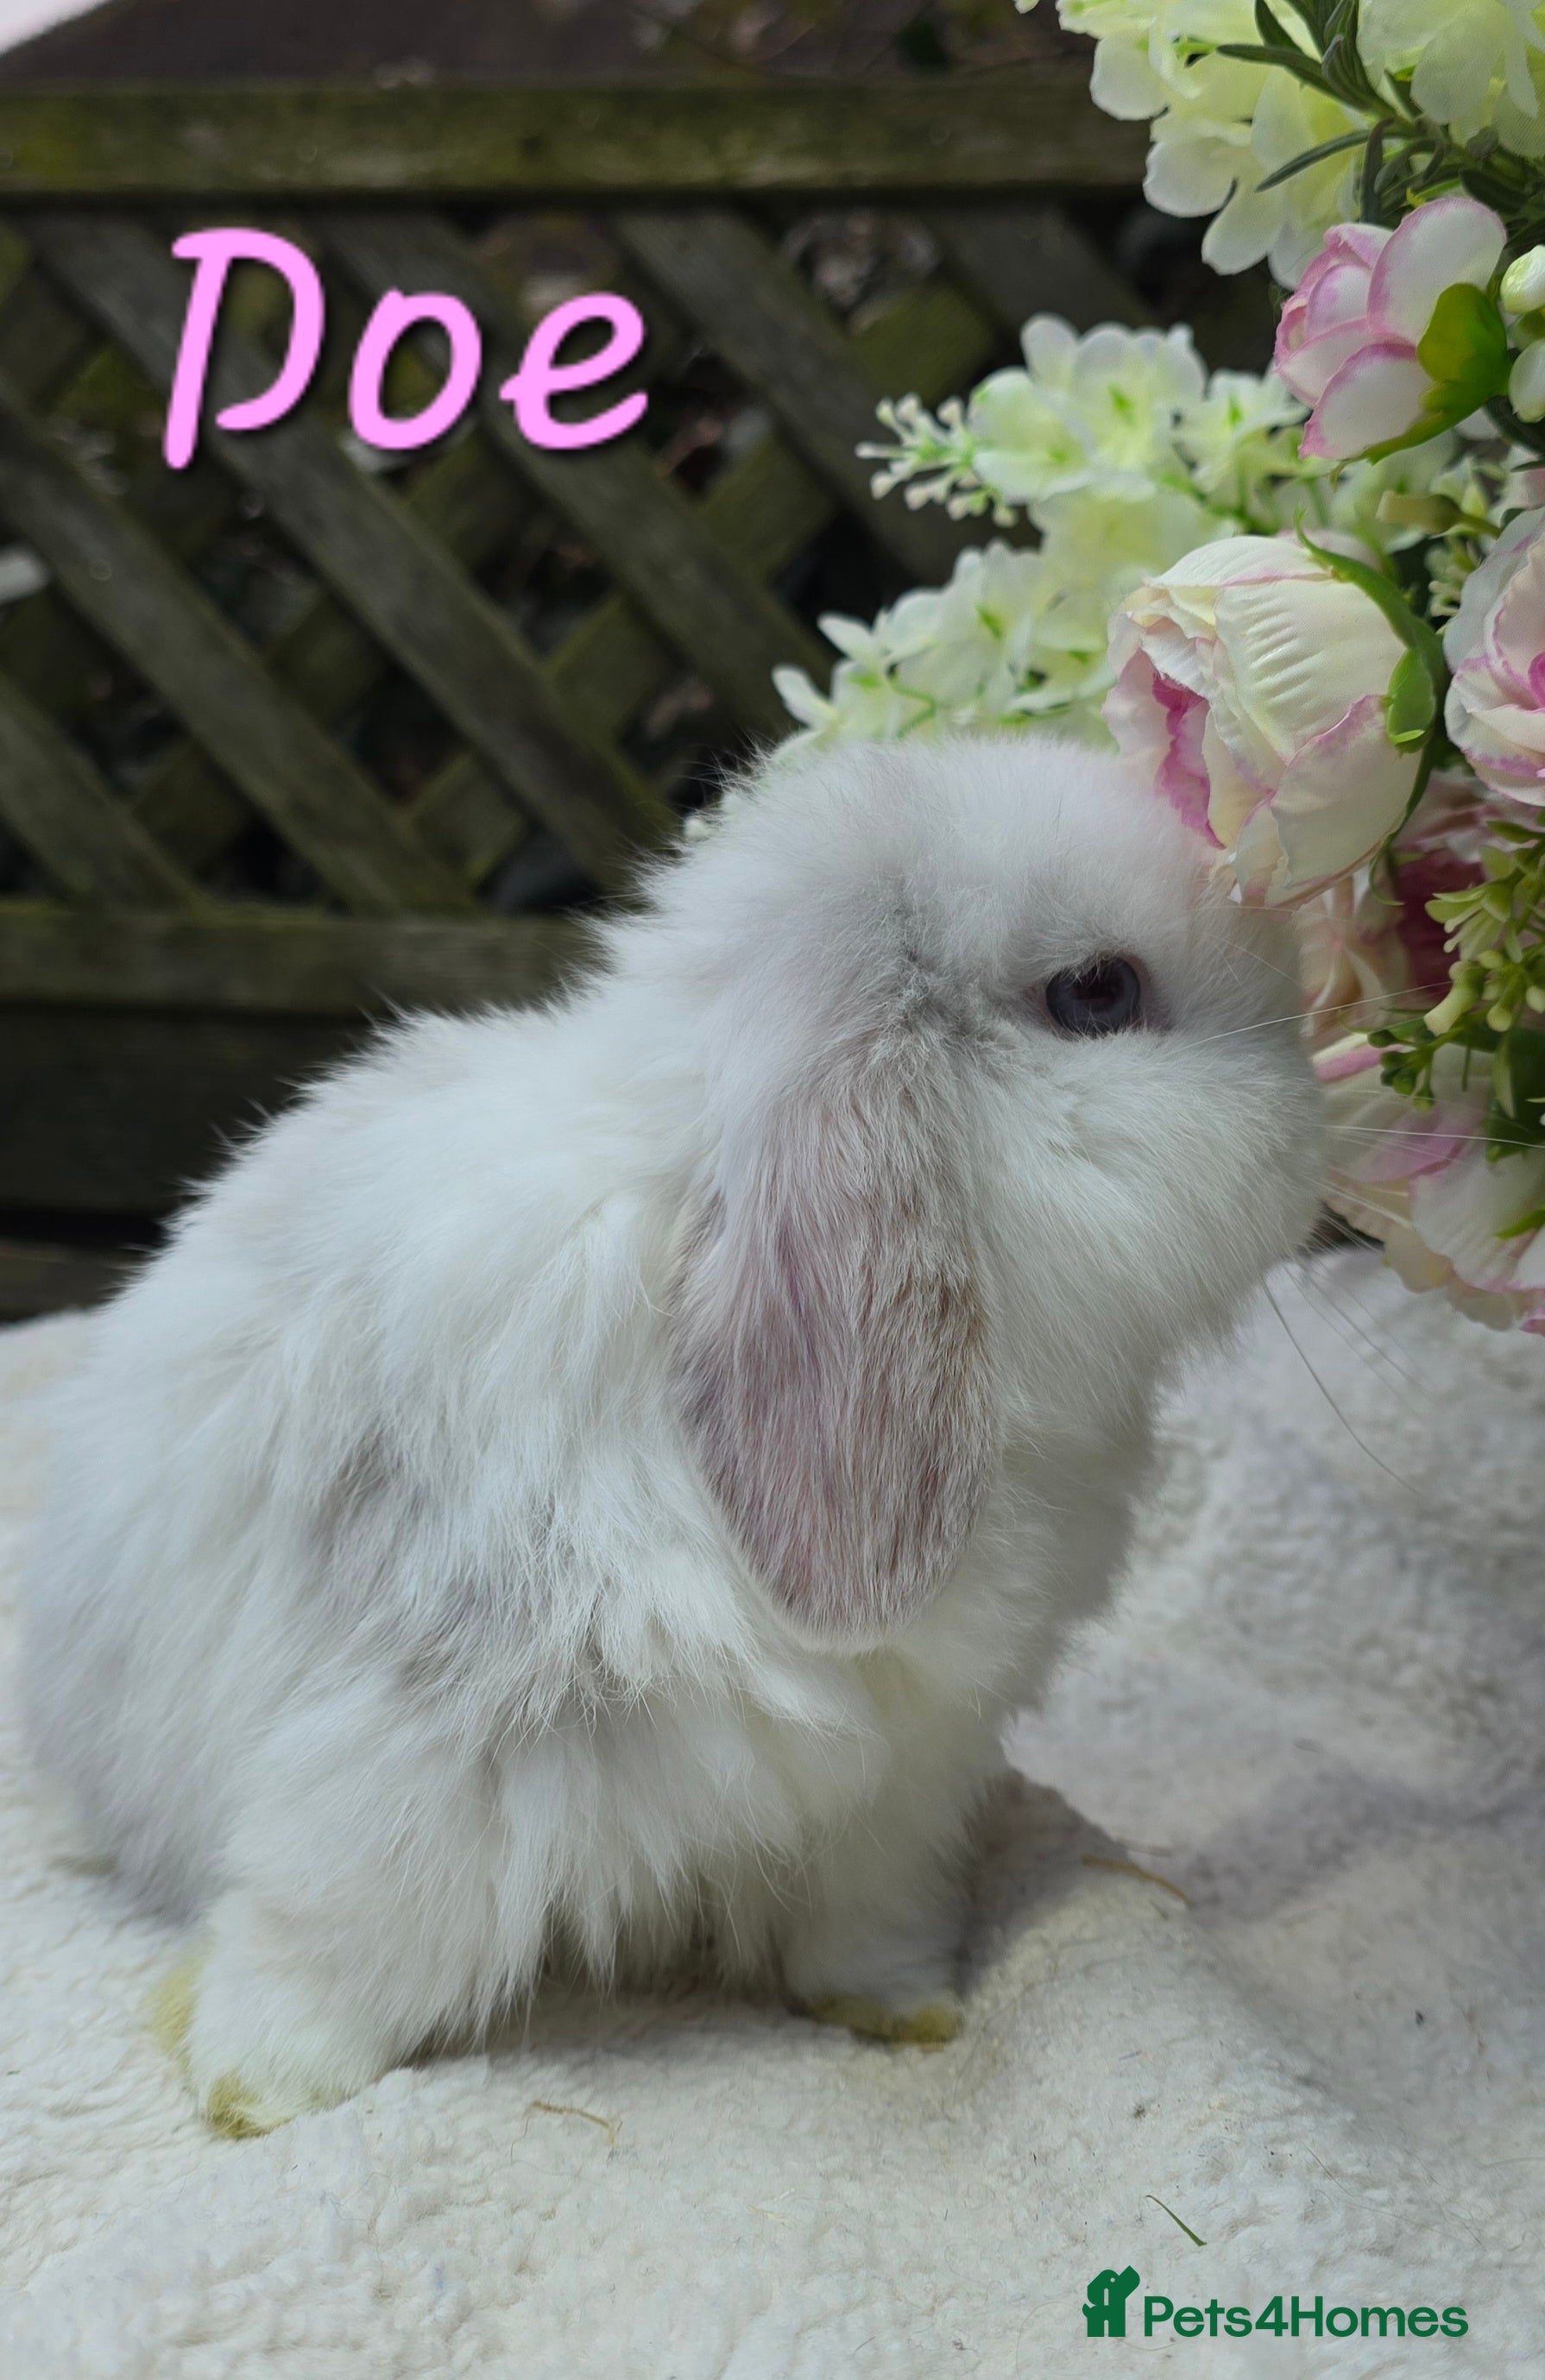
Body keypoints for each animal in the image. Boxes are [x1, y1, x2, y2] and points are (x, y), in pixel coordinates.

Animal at [21, 734, 1323, 2134]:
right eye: (1095, 991)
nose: (1309, 1122)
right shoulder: (426, 1735)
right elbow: (337, 1920)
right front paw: (259, 2083)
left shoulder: (903, 1780)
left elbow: (865, 1913)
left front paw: (906, 2009)